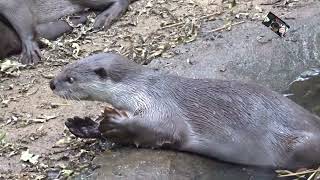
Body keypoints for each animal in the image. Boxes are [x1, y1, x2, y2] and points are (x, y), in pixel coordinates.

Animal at [49, 52, 320, 169]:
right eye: (64, 68)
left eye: (70, 79)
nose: (52, 83)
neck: (140, 88)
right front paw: (84, 125)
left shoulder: (161, 105)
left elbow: (164, 130)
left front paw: (114, 122)